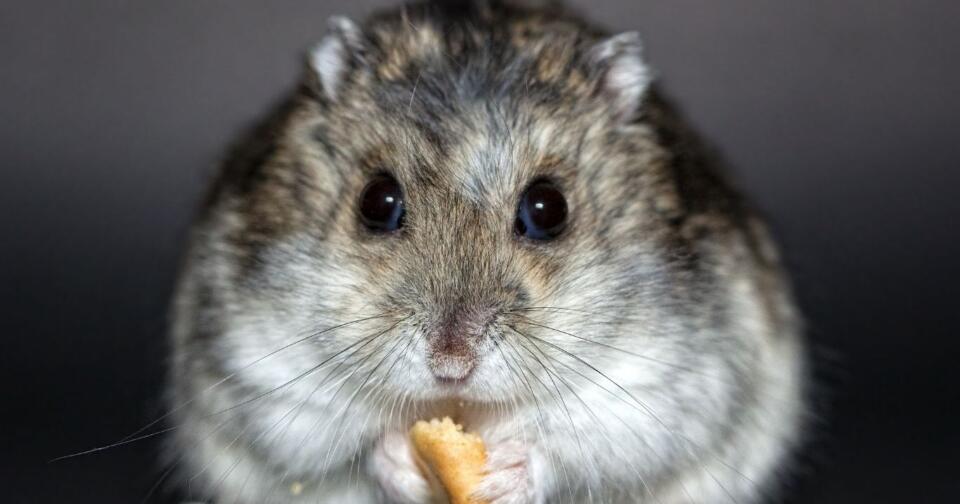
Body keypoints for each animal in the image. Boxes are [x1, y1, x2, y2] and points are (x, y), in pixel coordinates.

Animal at [166, 1, 805, 503]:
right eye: (377, 202)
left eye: (548, 209)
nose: (451, 366)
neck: (464, 408)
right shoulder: (263, 372)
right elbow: (346, 441)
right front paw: (403, 462)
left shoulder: (663, 386)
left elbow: (580, 445)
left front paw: (505, 474)